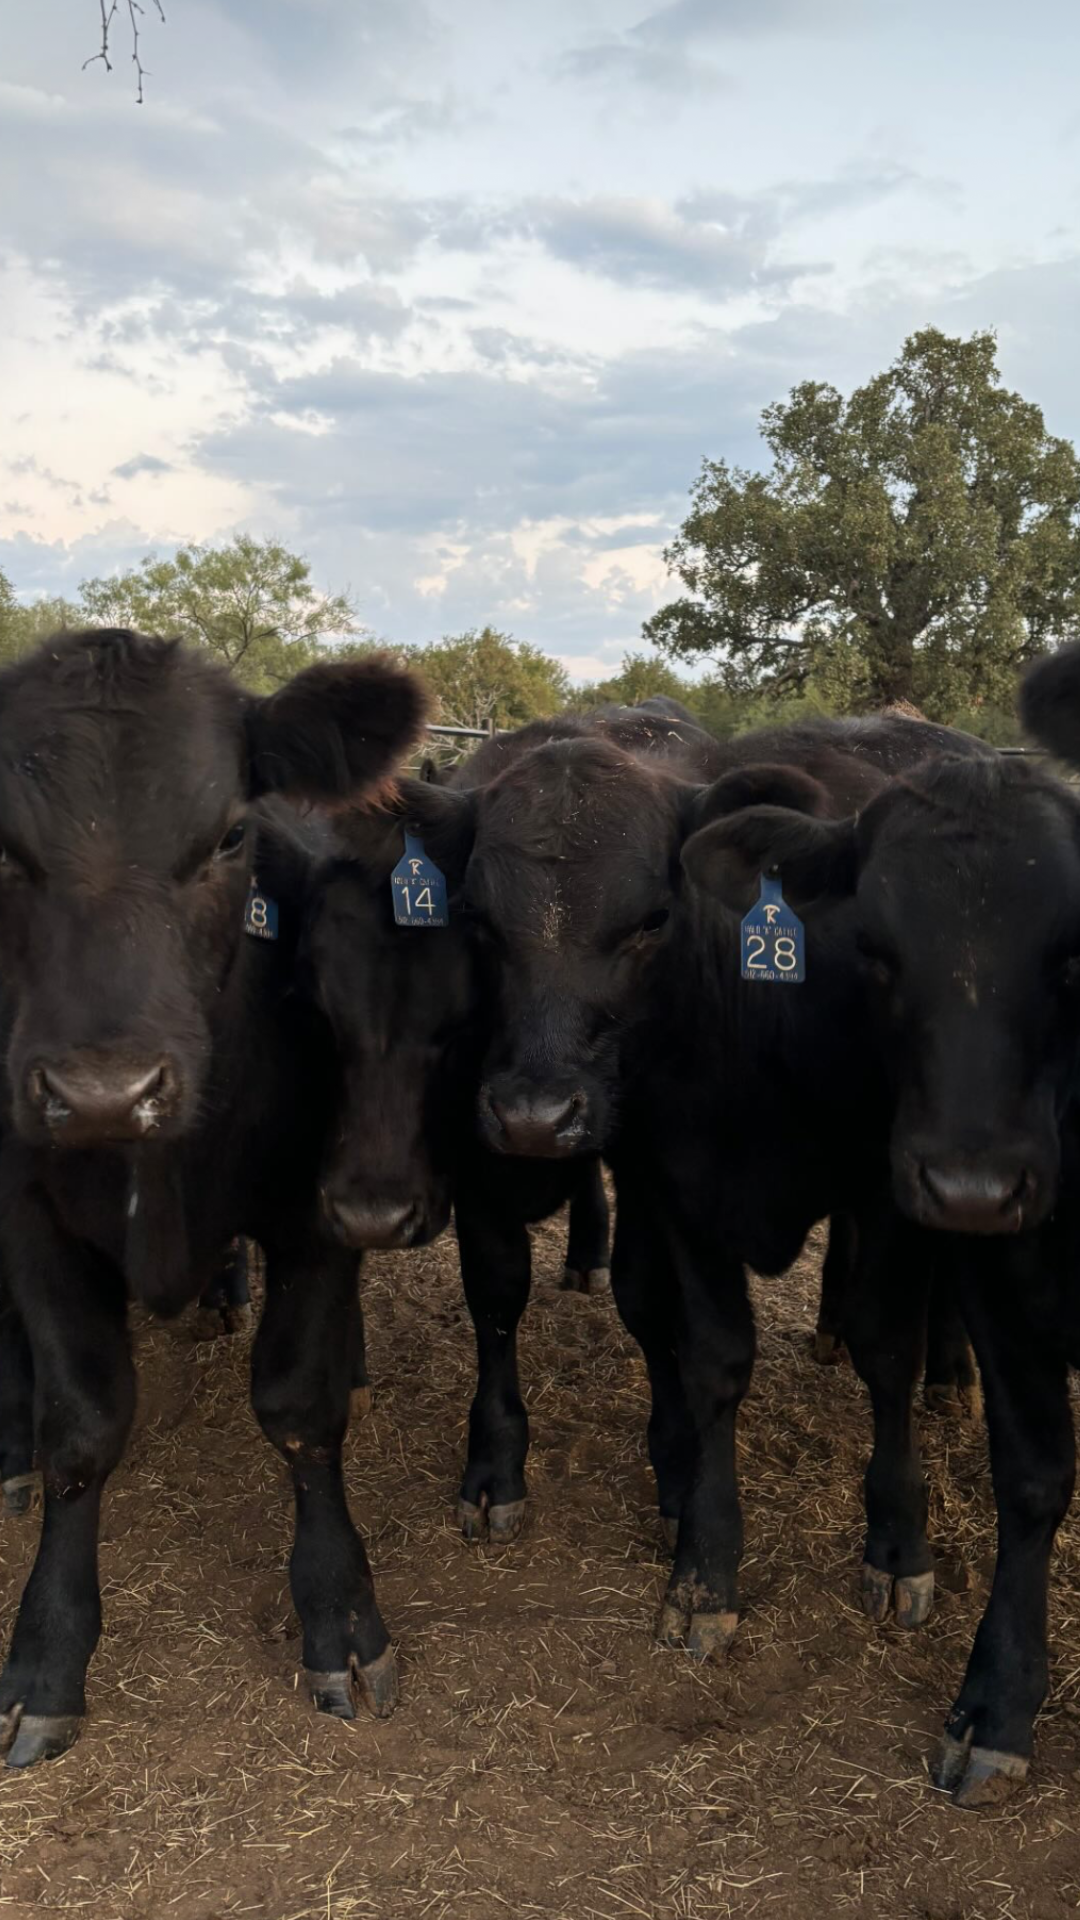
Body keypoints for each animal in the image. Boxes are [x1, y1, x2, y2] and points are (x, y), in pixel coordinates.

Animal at [0, 629, 424, 1766]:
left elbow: (300, 1407)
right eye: (1, 845)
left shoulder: (318, 1207)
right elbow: (81, 1425)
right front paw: (46, 1655)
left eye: (232, 833)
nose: (106, 1090)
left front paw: (341, 1614)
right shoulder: (28, 1212)